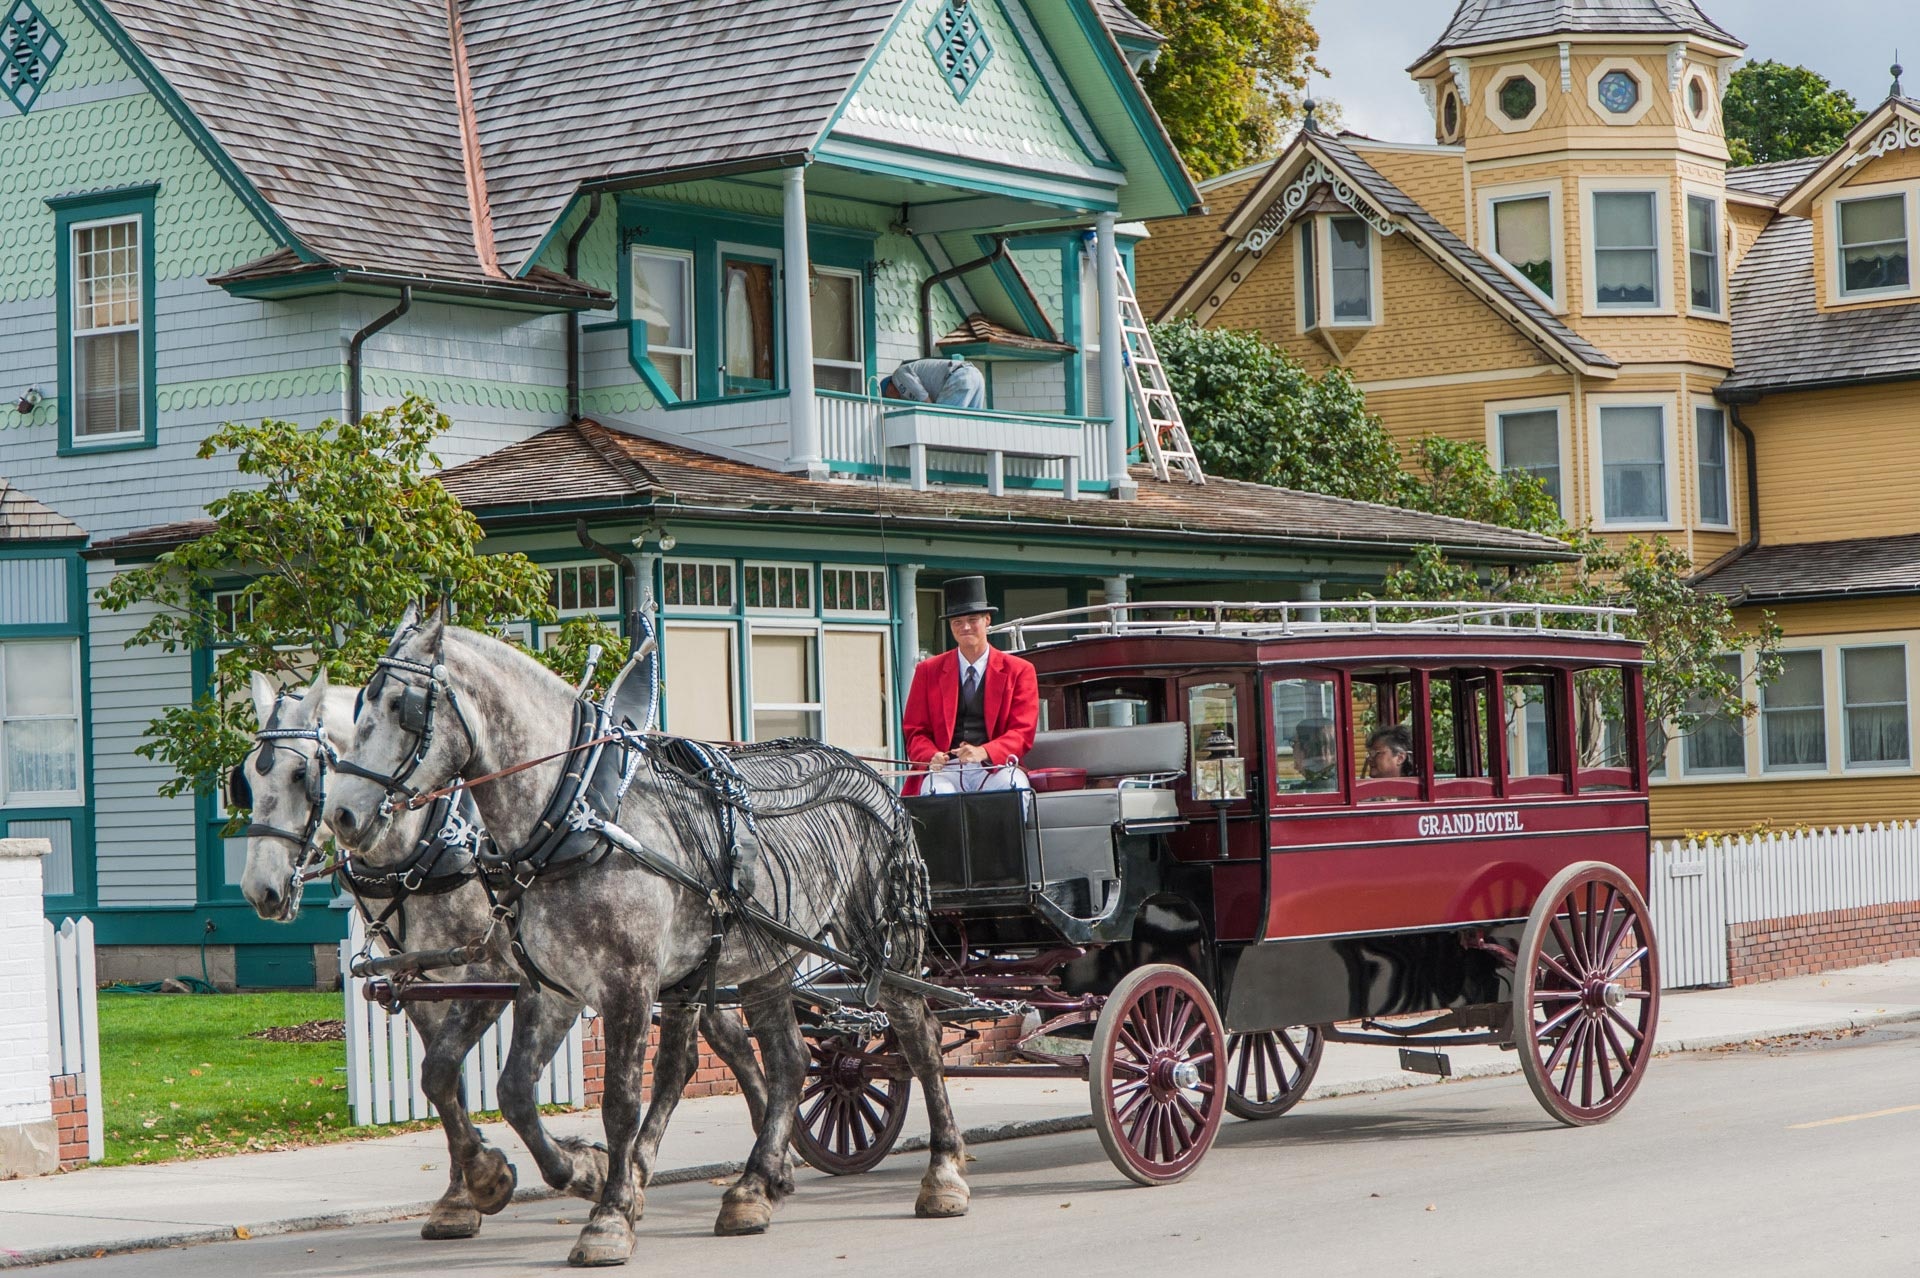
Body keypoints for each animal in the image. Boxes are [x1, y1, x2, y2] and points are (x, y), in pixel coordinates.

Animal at [238, 671, 771, 1235]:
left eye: (301, 774)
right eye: (246, 779)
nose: (261, 891)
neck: (425, 840)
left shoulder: (494, 970)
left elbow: (447, 1070)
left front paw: (522, 1171)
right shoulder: (424, 980)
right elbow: (442, 1079)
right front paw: (463, 1191)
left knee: (696, 1054)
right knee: (720, 1043)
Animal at [324, 610, 975, 1266]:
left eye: (405, 707)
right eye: (361, 705)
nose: (342, 816)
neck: (577, 814)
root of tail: (871, 774)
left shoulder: (626, 984)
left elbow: (618, 1101)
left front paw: (609, 1214)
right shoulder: (549, 986)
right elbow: (509, 1091)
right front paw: (558, 1173)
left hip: (878, 941)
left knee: (919, 1034)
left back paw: (942, 1173)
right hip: (764, 958)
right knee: (790, 1060)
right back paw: (752, 1187)